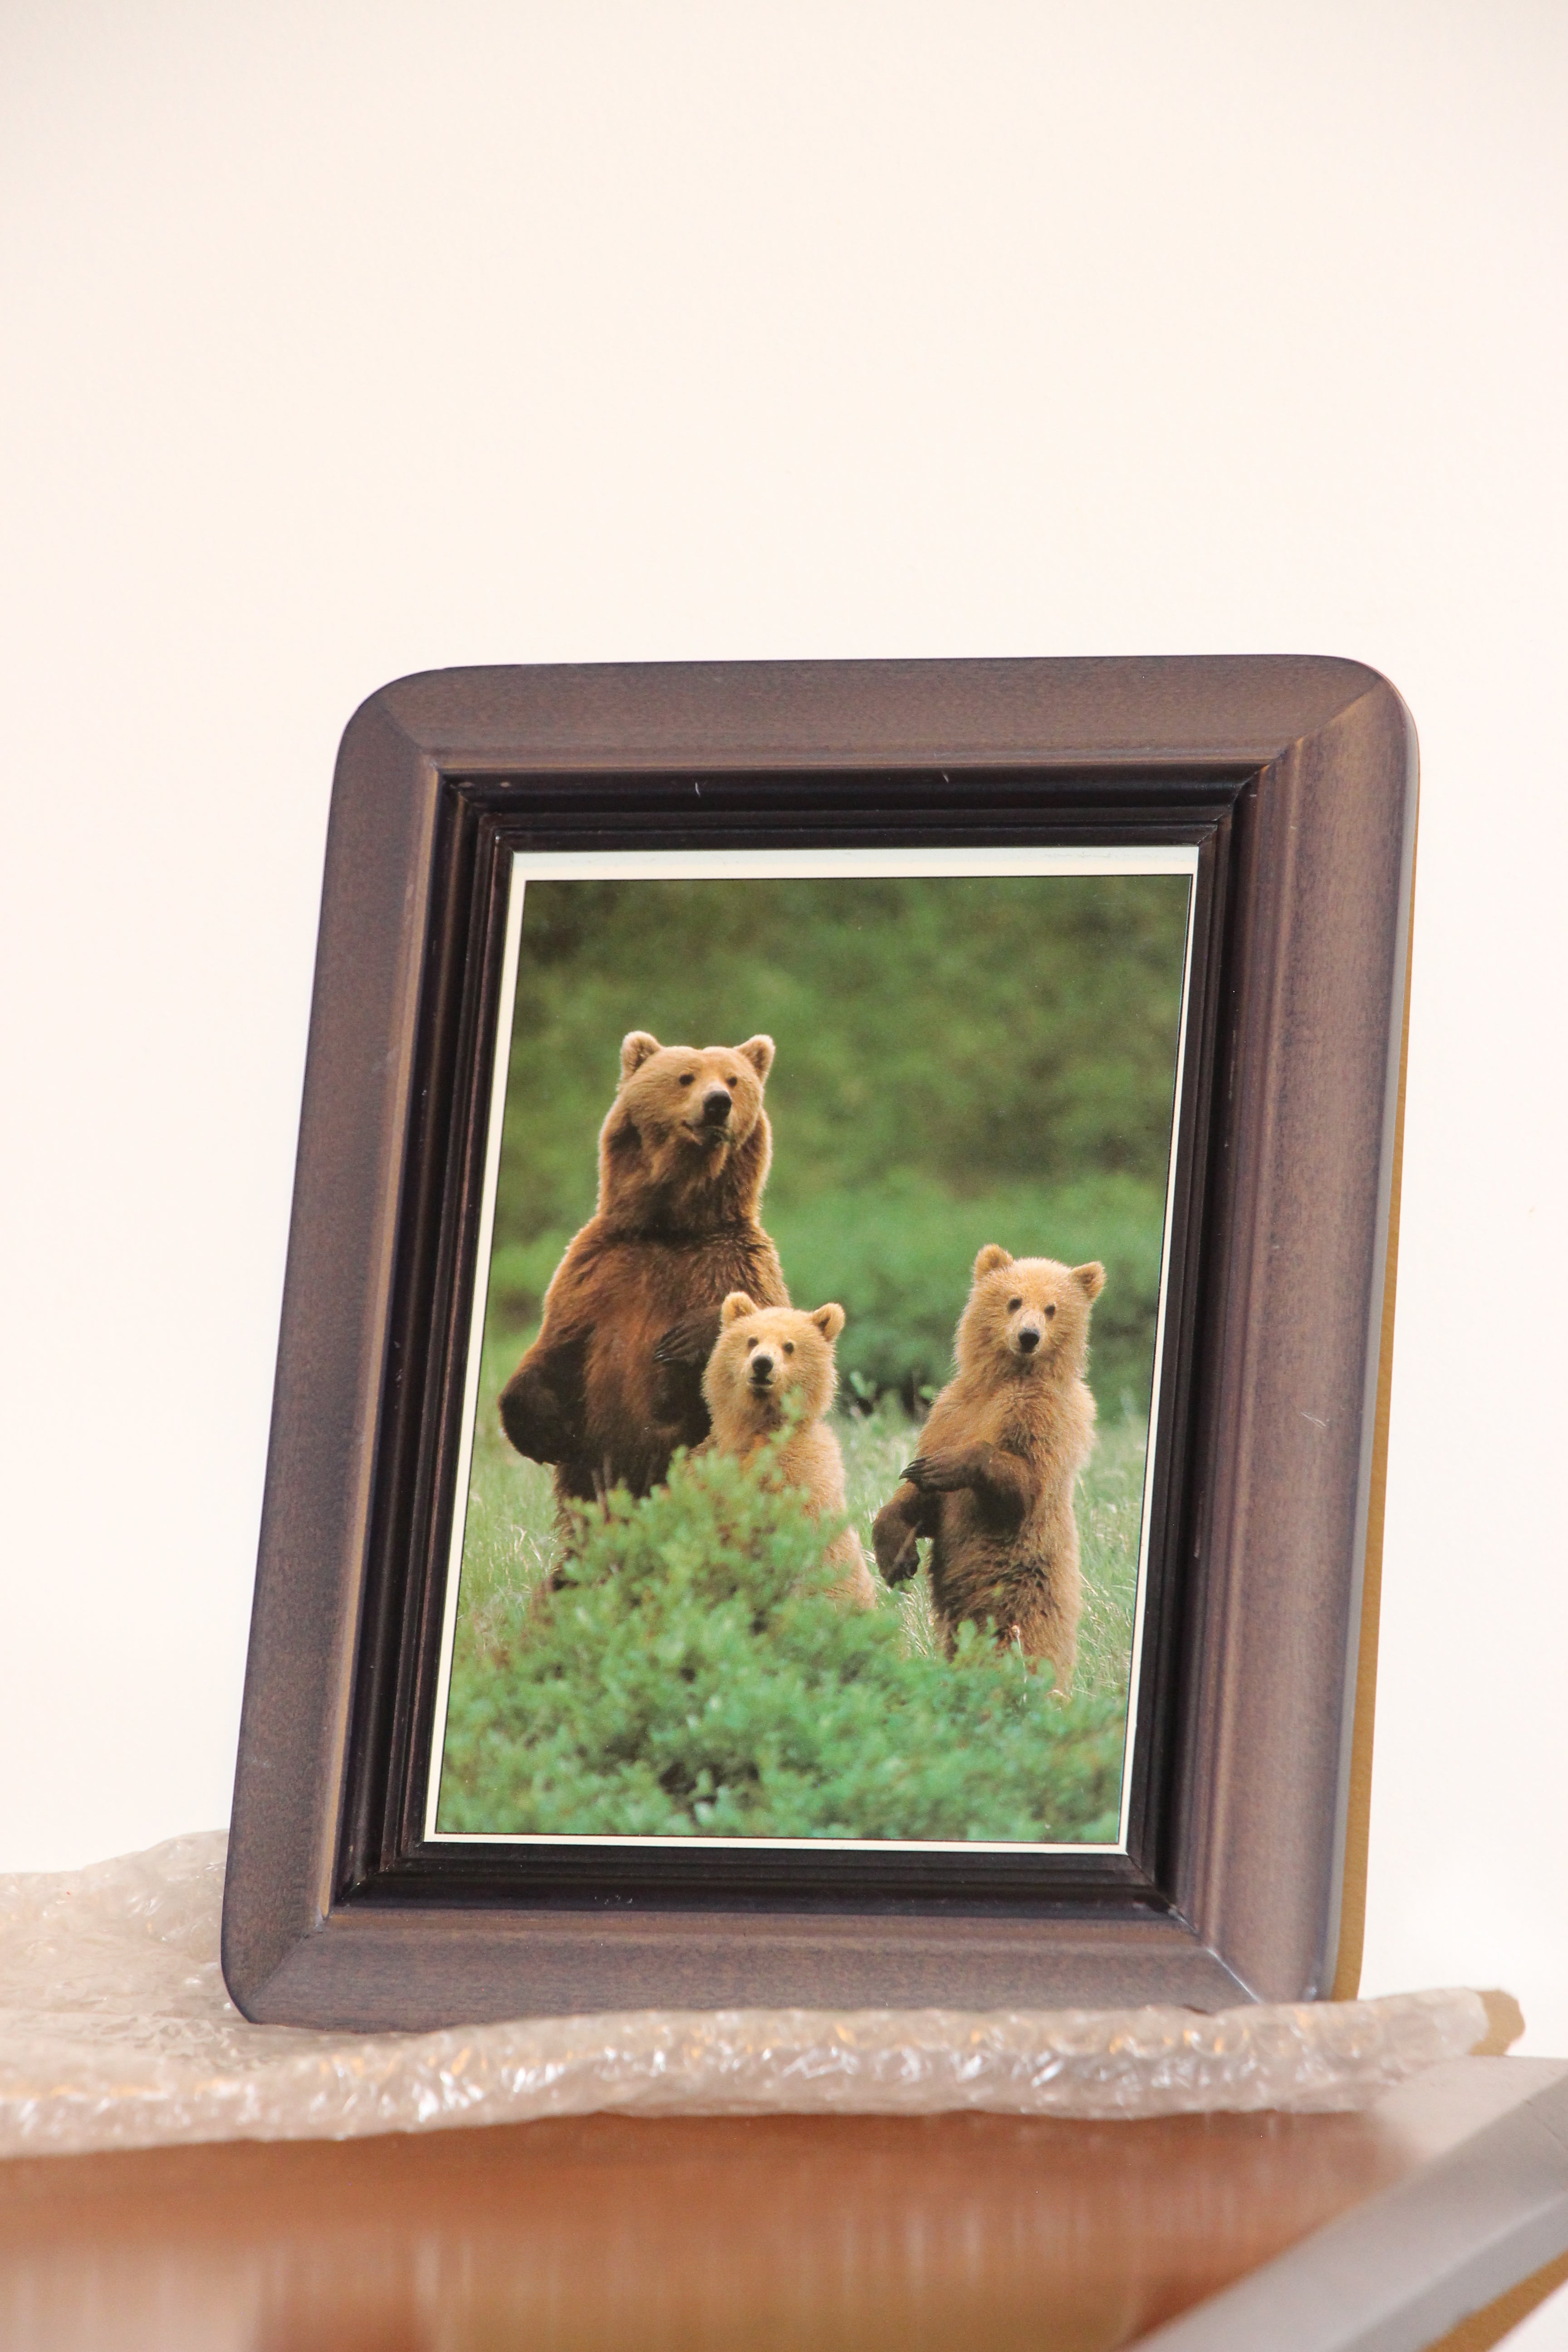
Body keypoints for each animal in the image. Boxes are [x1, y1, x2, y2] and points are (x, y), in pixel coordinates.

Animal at [498, 1030, 789, 1507]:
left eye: (734, 1079)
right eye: (686, 1076)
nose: (718, 1103)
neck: (670, 1228)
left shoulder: (737, 1260)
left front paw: (684, 1338)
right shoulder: (595, 1269)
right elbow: (558, 1344)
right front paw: (542, 1433)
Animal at [871, 1245, 1105, 1690]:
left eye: (1052, 1308)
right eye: (1014, 1300)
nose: (1029, 1337)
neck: (1005, 1380)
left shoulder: (1042, 1421)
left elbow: (1021, 1485)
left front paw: (943, 1467)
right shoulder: (951, 1414)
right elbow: (918, 1505)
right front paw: (898, 1557)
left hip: (1023, 1593)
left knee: (1021, 1651)